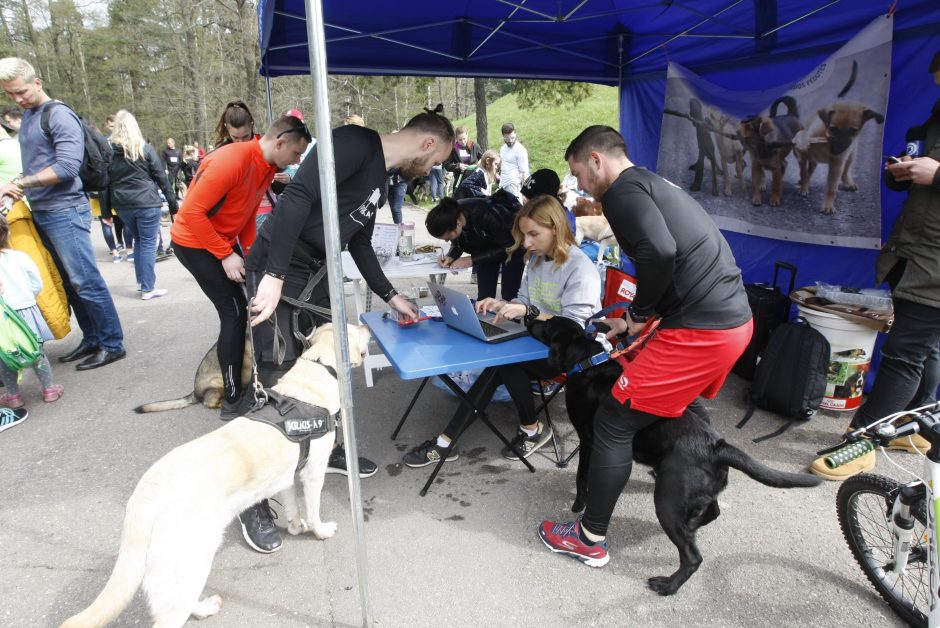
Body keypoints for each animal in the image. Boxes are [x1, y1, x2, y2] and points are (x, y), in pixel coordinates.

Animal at [528, 316, 824, 596]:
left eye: (549, 324)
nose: (530, 316)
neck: (587, 361)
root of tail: (717, 446)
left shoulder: (589, 441)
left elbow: (582, 478)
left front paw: (578, 504)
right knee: (713, 511)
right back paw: (693, 524)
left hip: (667, 501)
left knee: (693, 557)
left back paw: (668, 585)